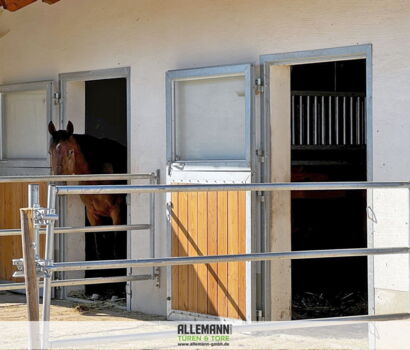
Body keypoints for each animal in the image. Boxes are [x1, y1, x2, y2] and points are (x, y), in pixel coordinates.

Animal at [47, 120, 126, 260]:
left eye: (70, 152)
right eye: (50, 153)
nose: (58, 183)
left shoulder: (117, 213)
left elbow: (116, 250)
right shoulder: (92, 214)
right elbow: (99, 249)